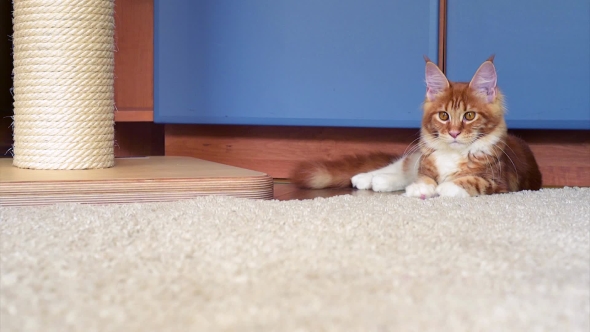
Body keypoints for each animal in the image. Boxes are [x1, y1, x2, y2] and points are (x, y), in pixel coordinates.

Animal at [290, 56, 540, 198]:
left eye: (469, 115)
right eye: (443, 115)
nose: (454, 132)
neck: (452, 155)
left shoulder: (500, 181)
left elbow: (472, 181)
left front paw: (446, 187)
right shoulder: (426, 165)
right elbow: (424, 178)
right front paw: (422, 188)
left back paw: (379, 182)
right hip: (414, 158)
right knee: (398, 167)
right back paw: (366, 178)